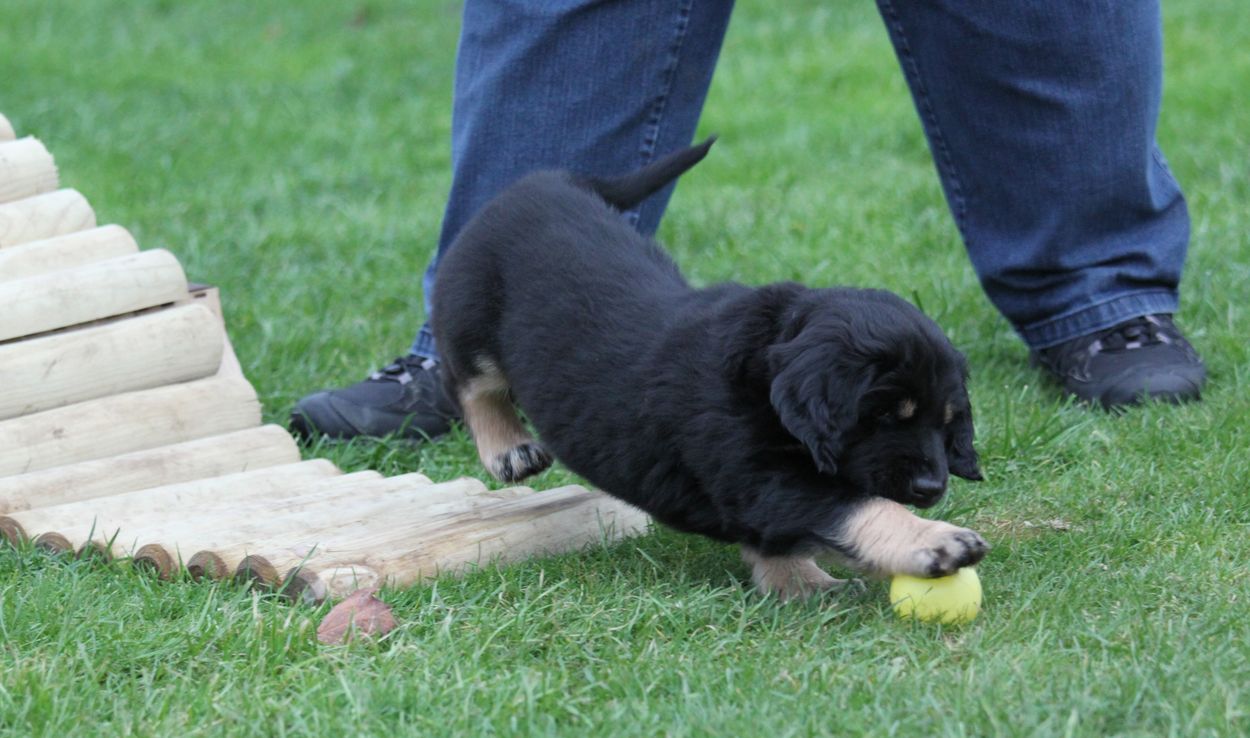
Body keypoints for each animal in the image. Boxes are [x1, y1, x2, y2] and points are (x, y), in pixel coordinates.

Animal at [432, 139, 989, 600]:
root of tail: (547, 180)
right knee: (469, 381)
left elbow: (776, 540)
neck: (763, 377)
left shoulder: (757, 489)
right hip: (471, 315)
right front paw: (937, 542)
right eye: (887, 415)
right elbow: (856, 506)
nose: (932, 489)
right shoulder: (760, 473)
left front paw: (801, 585)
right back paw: (509, 448)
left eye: (946, 422)